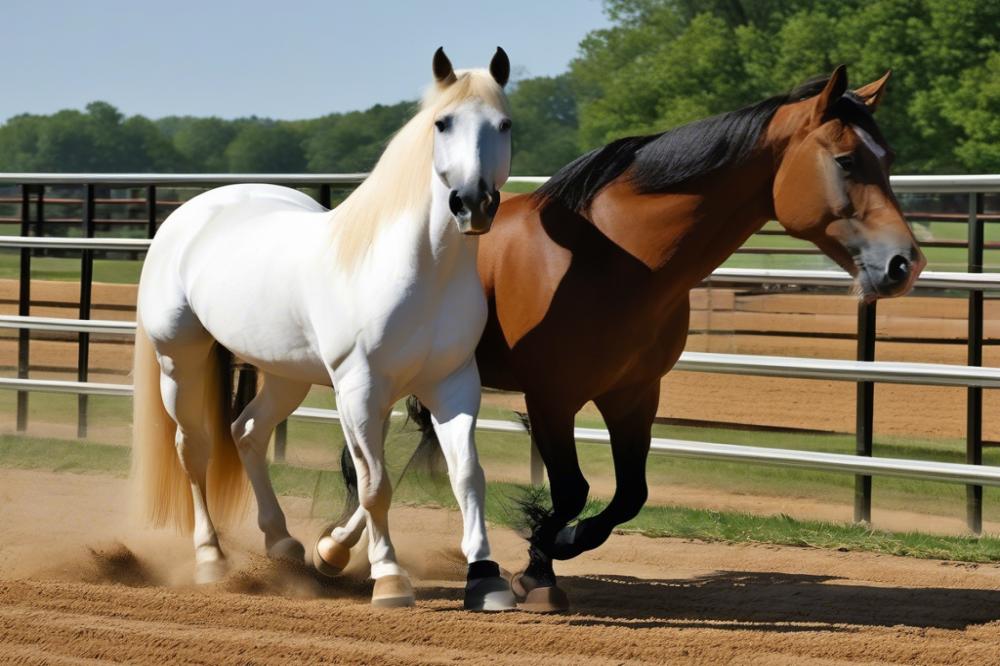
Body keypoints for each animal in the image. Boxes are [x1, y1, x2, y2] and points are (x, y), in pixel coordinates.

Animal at [132, 45, 516, 608]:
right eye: (442, 123)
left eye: (504, 124)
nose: (473, 203)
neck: (418, 268)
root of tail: (192, 212)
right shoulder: (359, 389)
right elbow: (375, 484)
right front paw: (389, 578)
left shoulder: (452, 384)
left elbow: (467, 476)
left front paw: (486, 578)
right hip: (179, 362)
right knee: (195, 449)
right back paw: (210, 558)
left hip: (286, 376)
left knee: (247, 432)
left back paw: (282, 542)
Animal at [346, 66, 920, 608]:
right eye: (846, 160)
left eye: (888, 156)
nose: (904, 263)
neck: (611, 257)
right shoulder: (551, 399)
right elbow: (572, 490)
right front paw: (538, 567)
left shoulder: (633, 394)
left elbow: (629, 495)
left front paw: (556, 550)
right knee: (363, 467)